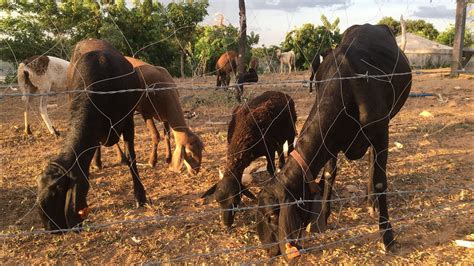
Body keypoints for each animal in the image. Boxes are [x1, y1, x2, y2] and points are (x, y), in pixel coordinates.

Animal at [36, 39, 145, 231]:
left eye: (58, 192)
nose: (51, 229)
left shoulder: (128, 121)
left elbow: (132, 158)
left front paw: (140, 195)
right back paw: (98, 162)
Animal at [256, 23, 412, 258]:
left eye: (272, 216)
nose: (270, 250)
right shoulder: (331, 140)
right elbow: (329, 174)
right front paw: (323, 217)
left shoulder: (380, 133)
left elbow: (380, 181)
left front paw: (387, 235)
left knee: (372, 164)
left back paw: (372, 201)